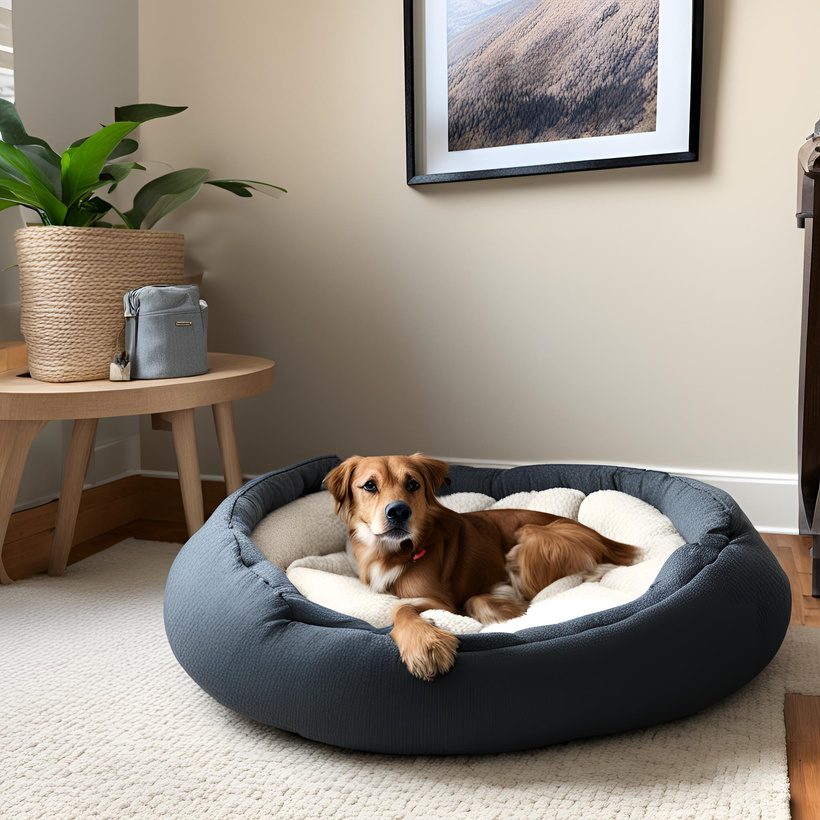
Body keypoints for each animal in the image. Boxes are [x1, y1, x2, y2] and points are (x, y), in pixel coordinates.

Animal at [324, 454, 636, 680]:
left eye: (413, 484)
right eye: (369, 485)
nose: (399, 511)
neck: (392, 552)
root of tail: (609, 542)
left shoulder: (441, 601)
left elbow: (400, 607)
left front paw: (425, 645)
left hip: (529, 540)